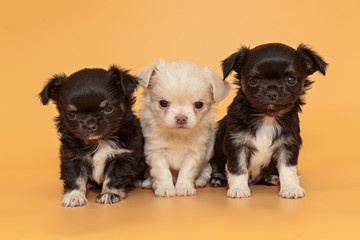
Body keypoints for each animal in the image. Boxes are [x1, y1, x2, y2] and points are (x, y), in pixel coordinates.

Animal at [38, 65, 146, 206]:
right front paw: (74, 196)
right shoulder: (72, 157)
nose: (90, 125)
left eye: (108, 109)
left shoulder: (123, 156)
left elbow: (113, 177)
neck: (98, 142)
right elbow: (75, 177)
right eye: (71, 114)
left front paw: (108, 194)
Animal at [138, 59, 231, 197]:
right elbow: (162, 172)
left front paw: (184, 187)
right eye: (163, 103)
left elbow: (187, 171)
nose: (181, 118)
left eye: (198, 105)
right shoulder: (156, 152)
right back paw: (149, 182)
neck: (178, 135)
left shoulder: (195, 154)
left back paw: (199, 181)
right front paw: (165, 188)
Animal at [210, 42, 328, 199]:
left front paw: (291, 188)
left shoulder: (287, 144)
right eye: (253, 81)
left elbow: (288, 169)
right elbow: (238, 167)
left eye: (291, 79)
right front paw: (239, 188)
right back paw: (217, 179)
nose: (272, 92)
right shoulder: (237, 143)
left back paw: (272, 178)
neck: (268, 118)